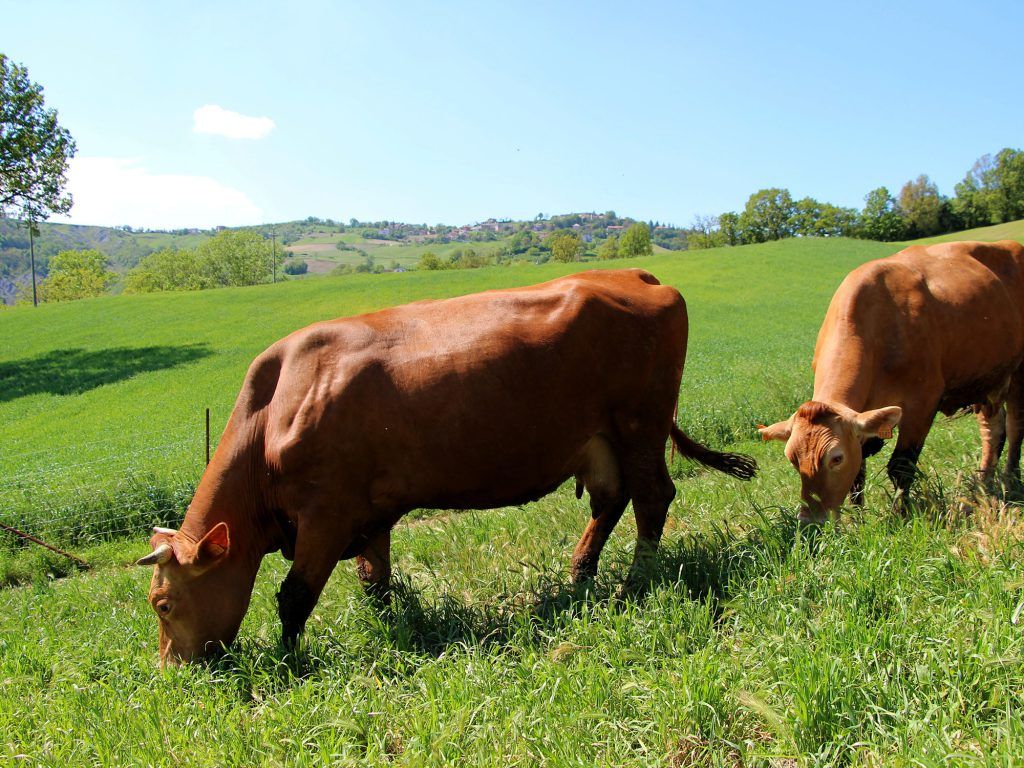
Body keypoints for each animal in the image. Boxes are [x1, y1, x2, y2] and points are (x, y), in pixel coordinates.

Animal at [138, 268, 753, 663]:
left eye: (164, 603)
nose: (173, 671)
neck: (274, 410)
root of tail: (635, 276)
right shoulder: (370, 513)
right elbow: (375, 581)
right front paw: (395, 629)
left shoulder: (326, 514)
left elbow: (294, 596)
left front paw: (290, 660)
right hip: (600, 439)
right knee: (611, 502)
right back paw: (579, 575)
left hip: (639, 424)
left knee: (652, 497)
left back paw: (633, 585)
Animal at [757, 240, 1024, 528]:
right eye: (792, 459)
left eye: (836, 458)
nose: (810, 521)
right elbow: (858, 475)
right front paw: (858, 520)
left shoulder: (922, 402)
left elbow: (901, 467)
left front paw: (899, 515)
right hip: (986, 380)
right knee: (993, 431)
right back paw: (984, 485)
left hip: (1019, 373)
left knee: (1015, 428)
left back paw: (1010, 482)